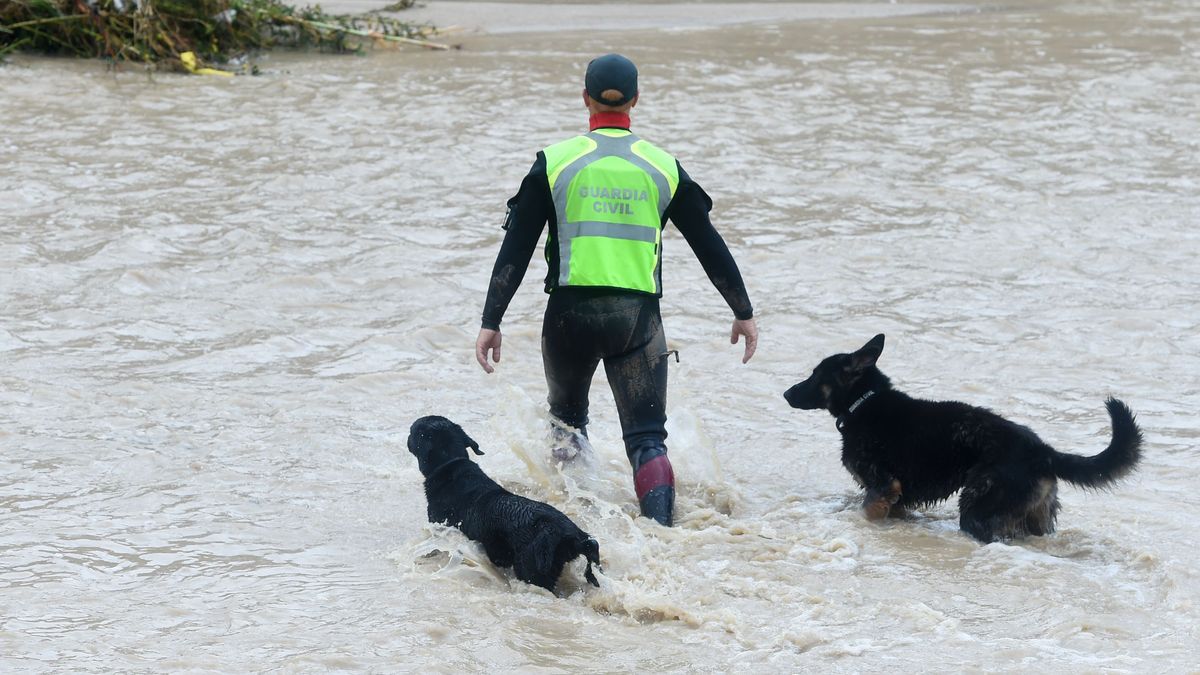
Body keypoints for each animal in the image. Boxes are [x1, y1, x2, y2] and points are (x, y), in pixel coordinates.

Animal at [787, 331, 1142, 540]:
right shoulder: (895, 499)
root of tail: (1042, 450)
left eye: (815, 375)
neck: (864, 401)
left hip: (978, 510)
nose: (785, 394)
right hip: (1035, 518)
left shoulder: (882, 488)